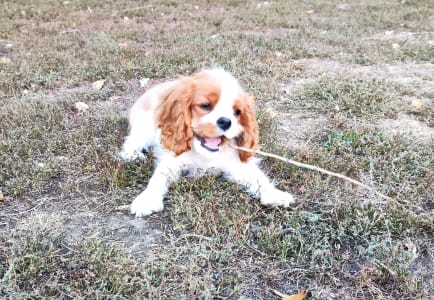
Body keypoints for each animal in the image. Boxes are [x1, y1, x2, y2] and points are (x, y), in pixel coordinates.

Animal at [120, 68, 294, 216]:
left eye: (237, 111)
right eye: (205, 105)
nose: (226, 121)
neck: (204, 154)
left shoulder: (237, 163)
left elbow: (258, 177)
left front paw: (274, 194)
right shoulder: (172, 160)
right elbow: (158, 177)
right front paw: (147, 199)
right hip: (145, 126)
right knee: (131, 141)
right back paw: (132, 155)